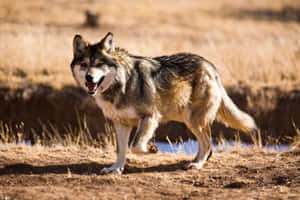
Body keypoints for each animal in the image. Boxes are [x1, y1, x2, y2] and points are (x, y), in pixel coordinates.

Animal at [70, 32, 258, 174]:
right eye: (84, 64)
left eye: (99, 64)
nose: (89, 78)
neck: (121, 84)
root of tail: (210, 65)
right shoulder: (121, 123)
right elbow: (121, 149)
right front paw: (115, 169)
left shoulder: (150, 117)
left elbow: (135, 145)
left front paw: (152, 149)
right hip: (188, 119)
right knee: (206, 144)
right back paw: (194, 161)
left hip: (192, 120)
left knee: (207, 144)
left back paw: (196, 165)